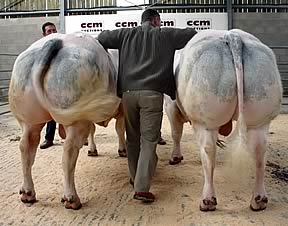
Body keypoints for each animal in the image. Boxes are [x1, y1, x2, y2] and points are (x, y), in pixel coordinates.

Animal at [7, 32, 122, 210]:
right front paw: (123, 150)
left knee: (26, 147)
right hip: (77, 119)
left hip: (30, 119)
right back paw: (71, 198)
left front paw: (93, 149)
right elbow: (121, 129)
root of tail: (57, 41)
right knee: (68, 152)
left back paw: (27, 192)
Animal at [165, 29, 282, 211]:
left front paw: (175, 157)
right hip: (260, 119)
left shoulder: (171, 106)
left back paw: (208, 200)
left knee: (208, 152)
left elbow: (176, 133)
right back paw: (258, 200)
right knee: (260, 152)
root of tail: (232, 36)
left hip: (206, 122)